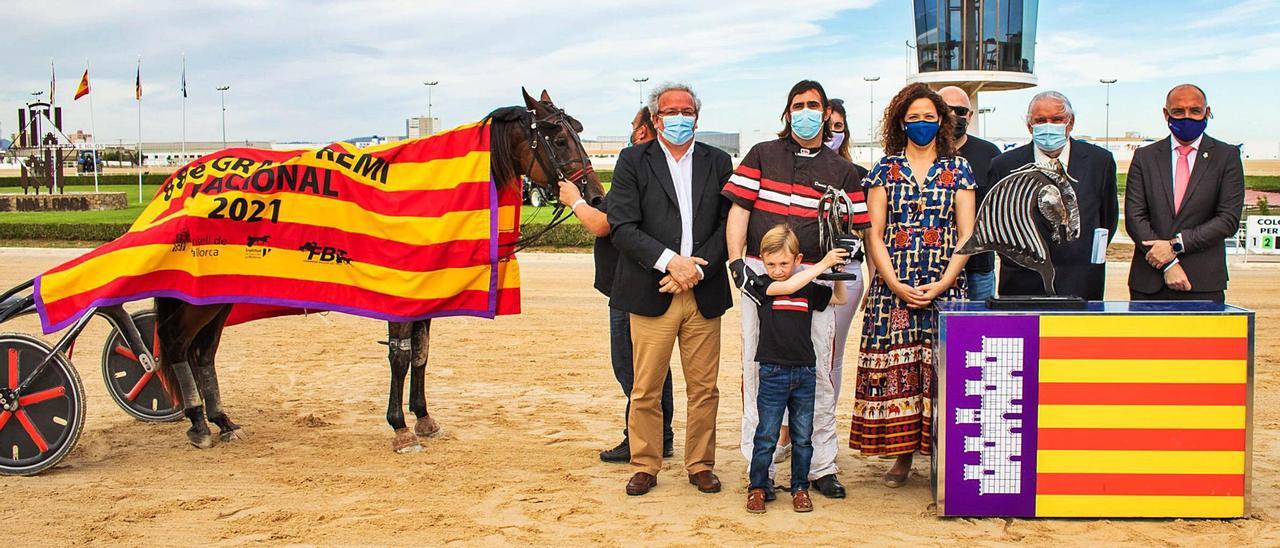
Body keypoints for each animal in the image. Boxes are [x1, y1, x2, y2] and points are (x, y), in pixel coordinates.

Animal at [147, 88, 606, 450]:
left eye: (578, 131)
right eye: (559, 138)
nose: (597, 197)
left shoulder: (426, 292)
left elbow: (421, 353)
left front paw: (422, 417)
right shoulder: (399, 292)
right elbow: (400, 357)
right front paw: (400, 427)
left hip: (218, 292)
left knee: (204, 352)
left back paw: (223, 421)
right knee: (176, 344)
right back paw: (198, 422)